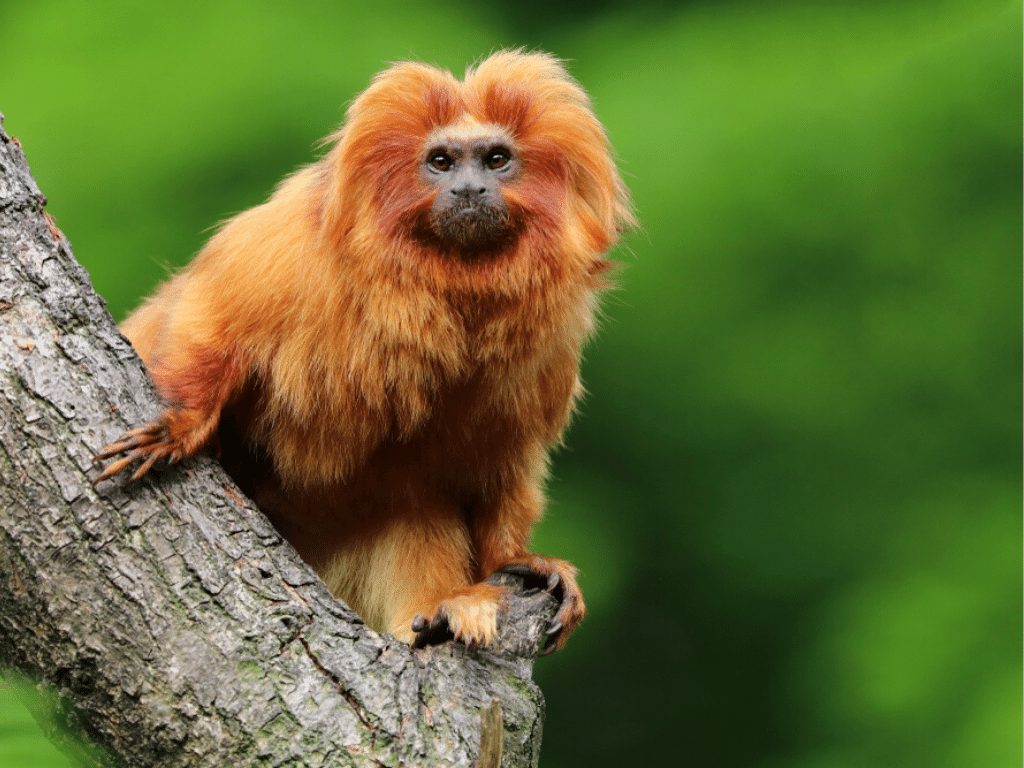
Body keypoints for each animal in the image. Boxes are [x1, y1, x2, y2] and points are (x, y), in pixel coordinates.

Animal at [94, 51, 630, 655]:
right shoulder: (290, 250)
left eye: (496, 160)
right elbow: (210, 317)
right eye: (441, 162)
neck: (446, 292)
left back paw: (443, 609)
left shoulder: (550, 346)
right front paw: (181, 422)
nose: (470, 189)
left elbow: (500, 464)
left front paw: (514, 558)